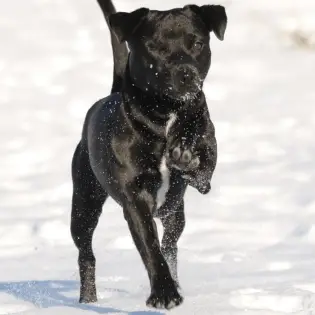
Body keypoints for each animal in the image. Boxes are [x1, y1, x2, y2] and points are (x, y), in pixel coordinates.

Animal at [70, 0, 227, 312]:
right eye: (155, 46)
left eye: (197, 42)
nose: (186, 73)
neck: (166, 114)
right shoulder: (135, 199)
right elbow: (150, 248)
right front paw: (164, 294)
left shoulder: (206, 157)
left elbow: (203, 169)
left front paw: (186, 155)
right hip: (84, 202)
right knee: (86, 253)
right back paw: (87, 299)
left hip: (174, 212)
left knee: (171, 242)